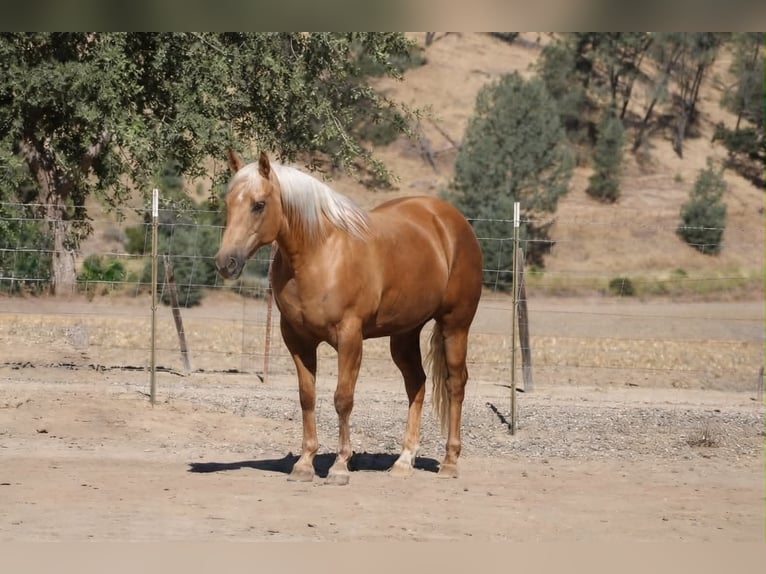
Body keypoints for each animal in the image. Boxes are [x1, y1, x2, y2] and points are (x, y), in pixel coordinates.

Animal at [214, 150, 483, 485]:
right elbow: (307, 397)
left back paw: (449, 462)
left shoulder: (350, 337)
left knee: (455, 384)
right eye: (229, 203)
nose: (226, 263)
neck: (319, 254)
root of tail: (451, 221)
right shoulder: (298, 340)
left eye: (259, 204)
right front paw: (304, 463)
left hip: (455, 325)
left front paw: (340, 466)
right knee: (416, 384)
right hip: (404, 334)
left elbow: (343, 398)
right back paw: (404, 461)